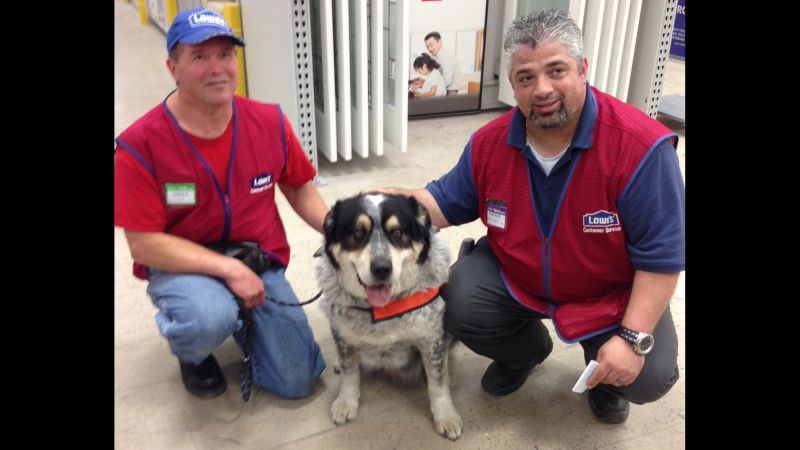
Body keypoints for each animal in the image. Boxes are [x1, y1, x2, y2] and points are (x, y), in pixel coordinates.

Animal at [318, 192, 462, 440]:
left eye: (398, 233)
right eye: (357, 234)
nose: (382, 269)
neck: (381, 309)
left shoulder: (431, 337)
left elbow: (437, 383)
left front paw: (446, 416)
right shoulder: (342, 334)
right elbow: (349, 372)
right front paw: (346, 402)